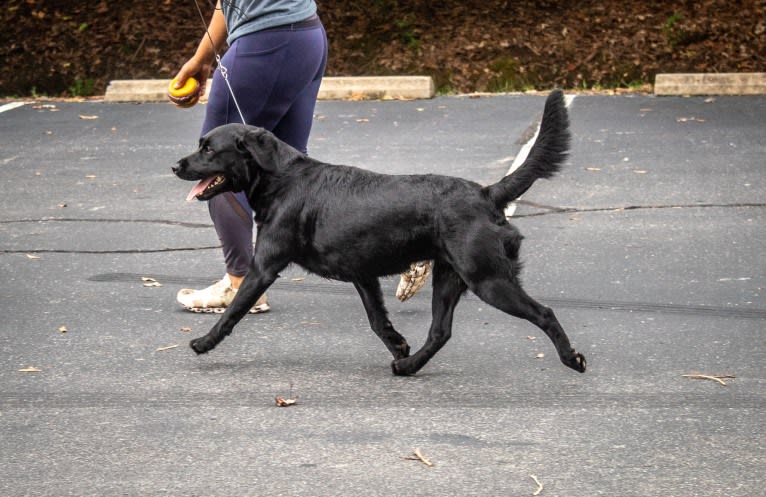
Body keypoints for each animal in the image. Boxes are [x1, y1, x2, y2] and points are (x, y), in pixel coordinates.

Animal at [174, 90, 584, 376]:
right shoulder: (363, 276)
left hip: (489, 280)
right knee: (440, 332)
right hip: (449, 278)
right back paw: (407, 367)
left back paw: (572, 358)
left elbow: (233, 312)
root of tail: (486, 192)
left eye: (208, 148)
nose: (175, 166)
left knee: (545, 312)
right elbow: (377, 319)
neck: (282, 178)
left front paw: (204, 342)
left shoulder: (263, 268)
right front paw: (398, 346)